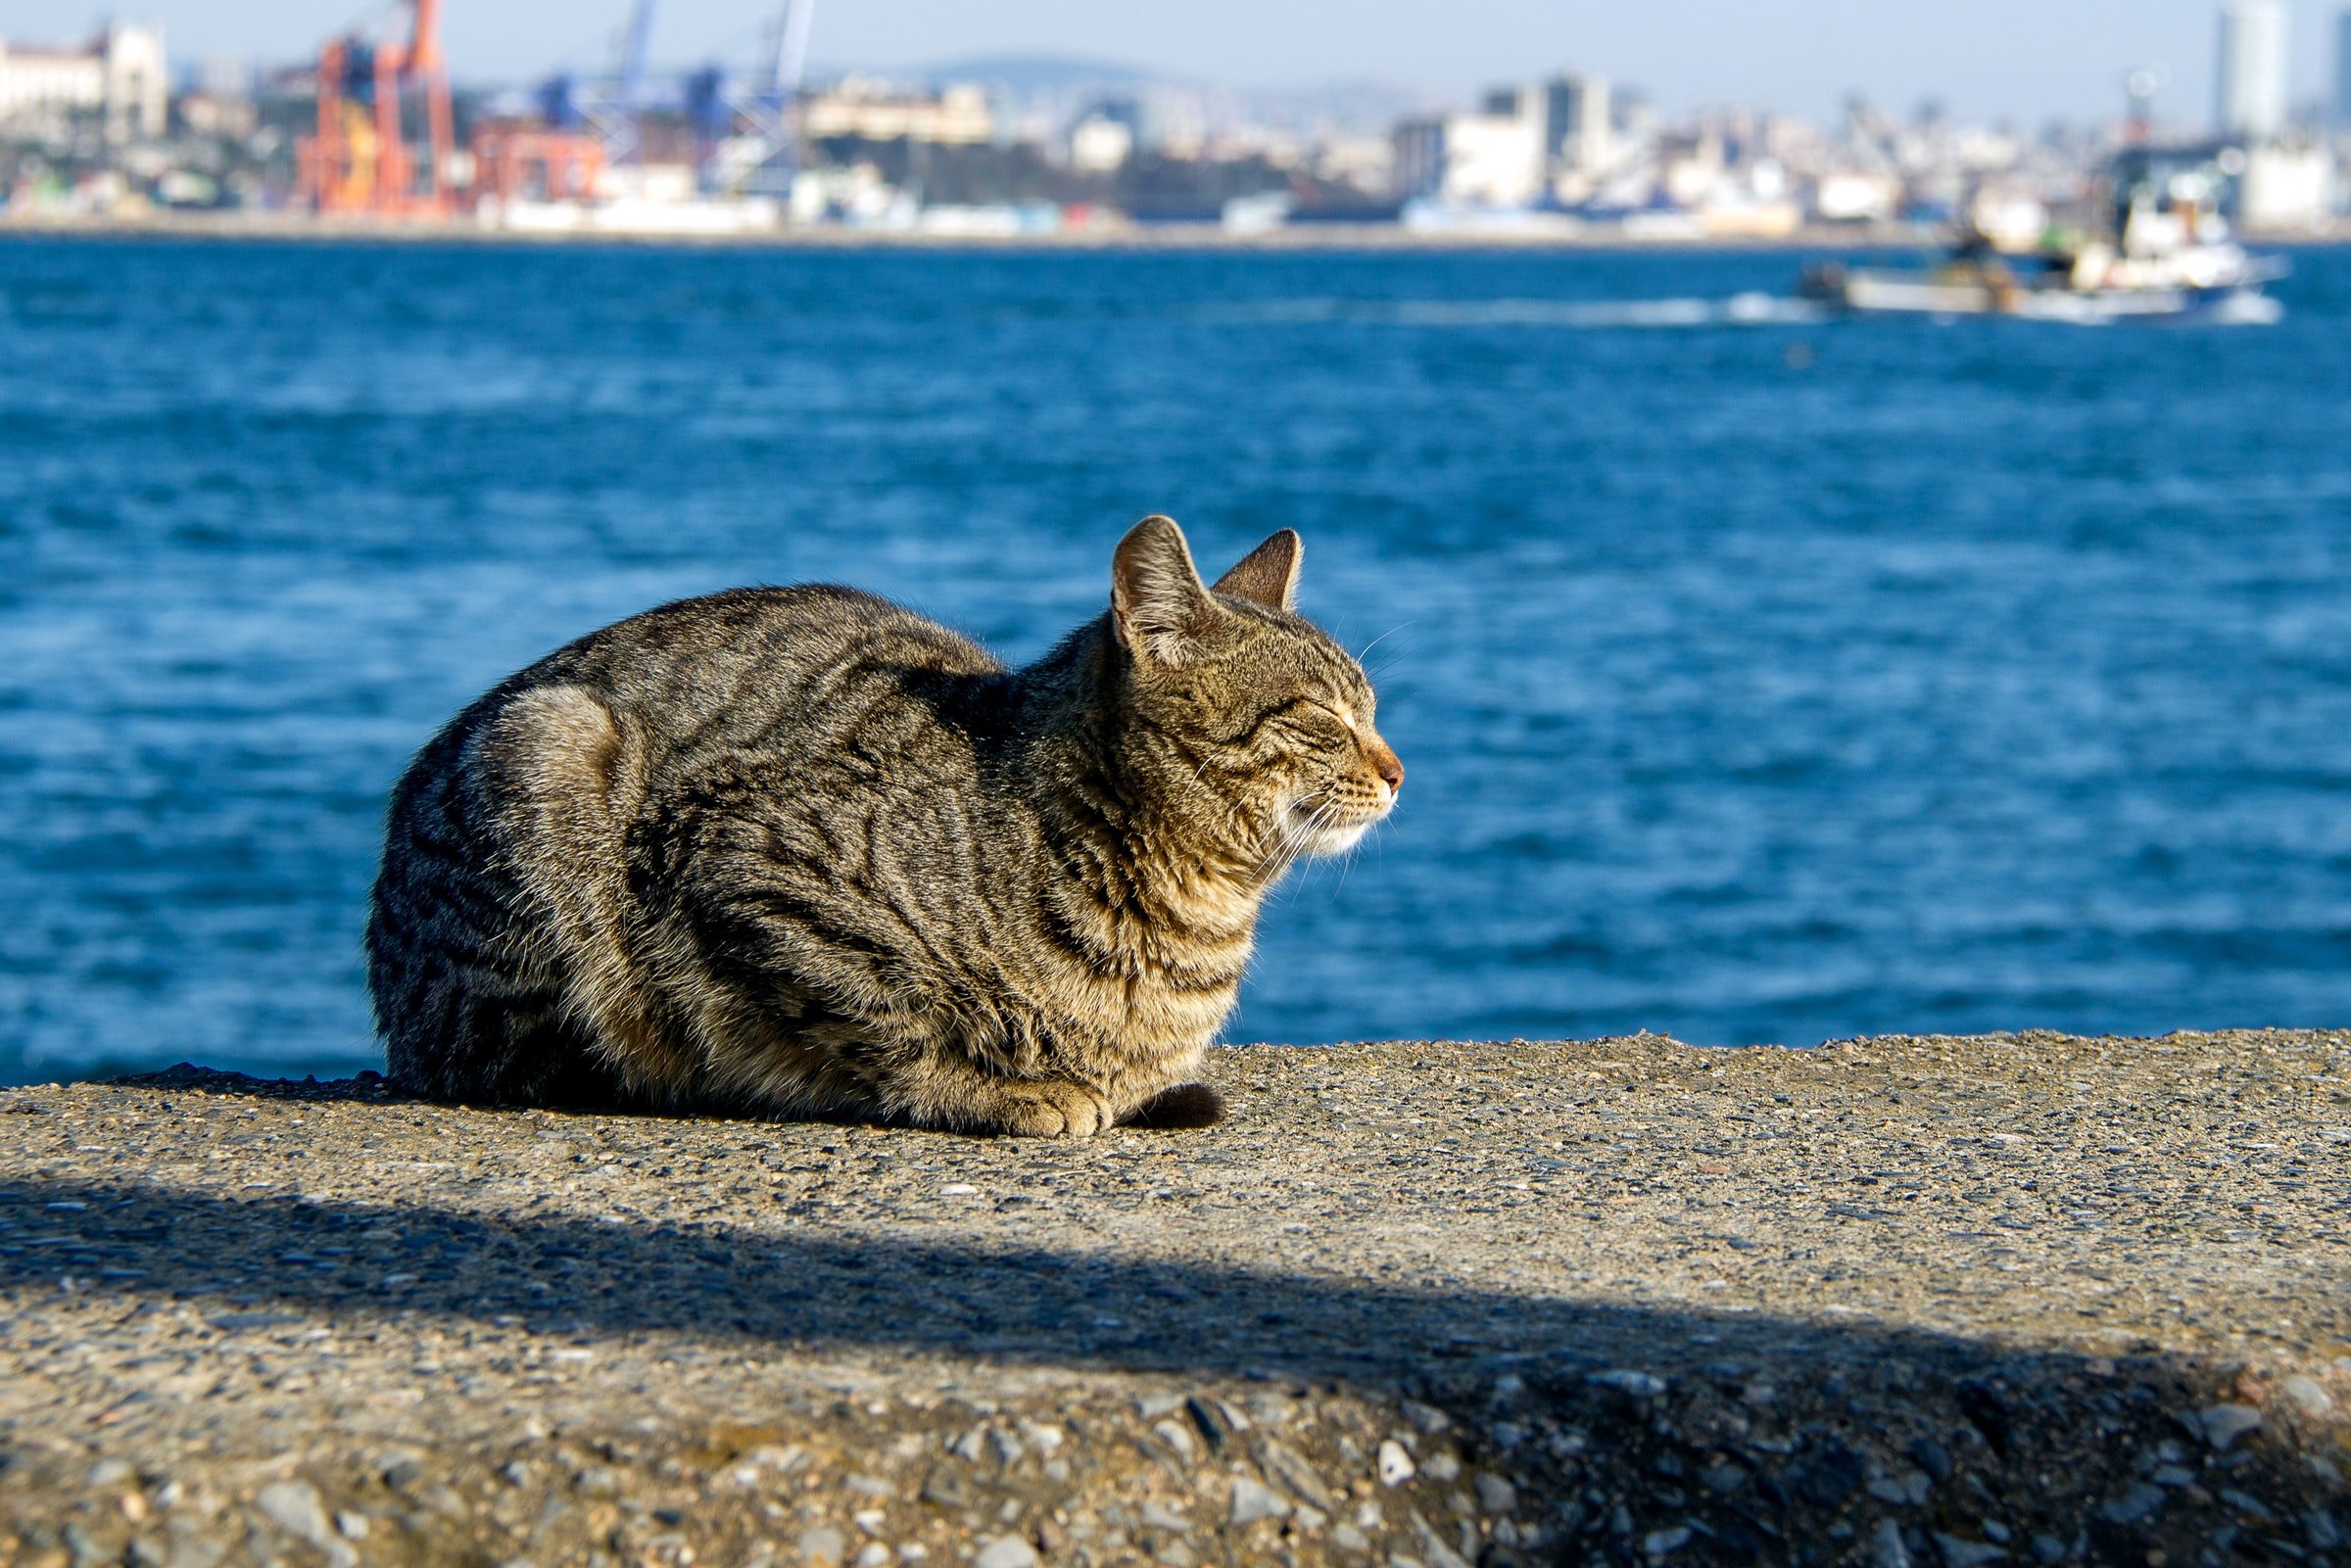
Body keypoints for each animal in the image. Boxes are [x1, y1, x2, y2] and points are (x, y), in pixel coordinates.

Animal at [361, 517, 1391, 1142]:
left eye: (1373, 709)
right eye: (1320, 716)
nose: (1397, 769)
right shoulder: (747, 863)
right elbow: (885, 1018)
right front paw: (992, 1087)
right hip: (555, 745)